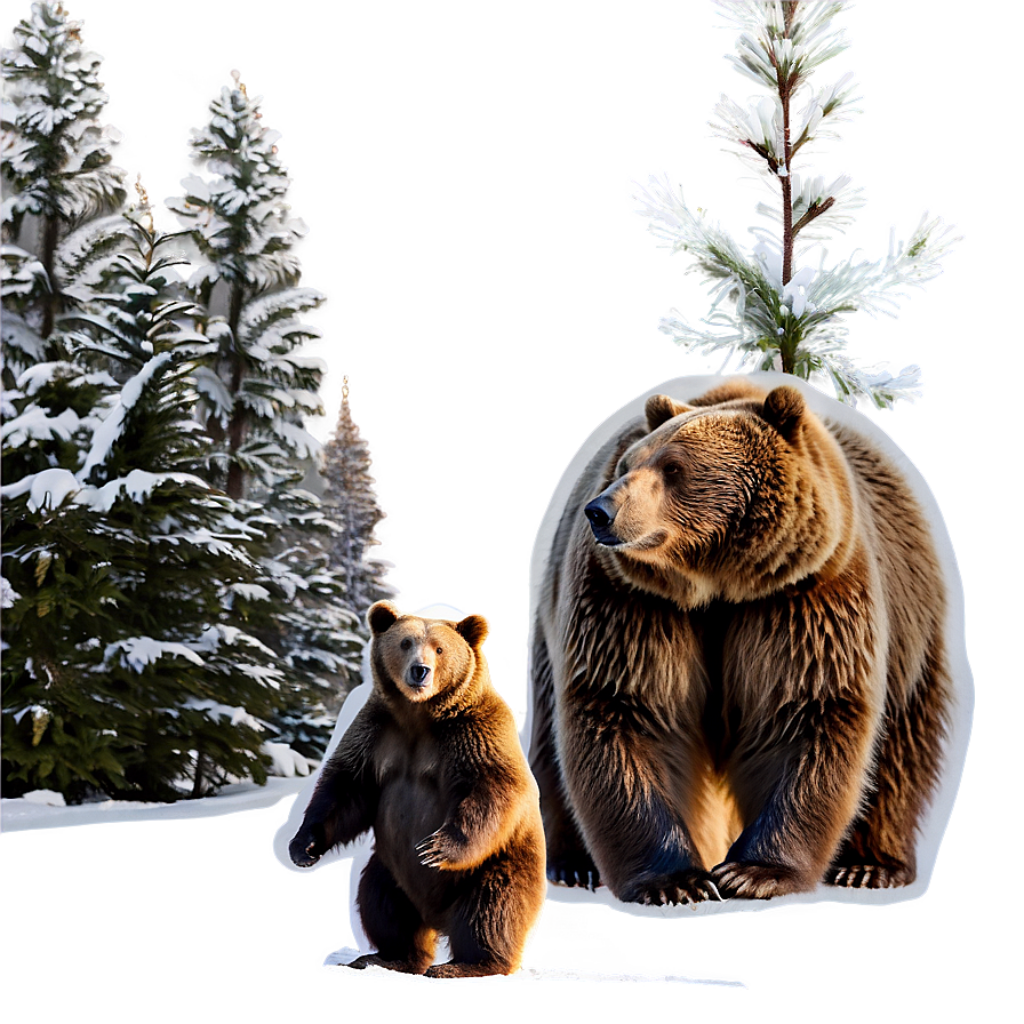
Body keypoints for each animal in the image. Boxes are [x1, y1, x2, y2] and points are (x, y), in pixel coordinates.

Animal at [290, 600, 547, 978]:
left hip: (500, 863)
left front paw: (436, 848)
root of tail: (436, 917)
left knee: (490, 908)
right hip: (391, 868)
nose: (419, 671)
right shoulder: (377, 733)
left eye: (439, 648)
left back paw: (467, 964)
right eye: (405, 643)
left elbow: (491, 787)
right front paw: (303, 847)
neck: (419, 715)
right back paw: (387, 957)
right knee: (382, 904)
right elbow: (345, 790)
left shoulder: (473, 732)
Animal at [529, 377, 951, 905]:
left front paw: (752, 871)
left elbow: (808, 710)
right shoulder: (631, 603)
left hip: (912, 631)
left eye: (673, 466)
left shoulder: (804, 594)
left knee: (899, 747)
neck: (719, 581)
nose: (600, 511)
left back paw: (870, 865)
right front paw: (676, 880)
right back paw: (572, 864)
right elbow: (624, 707)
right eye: (627, 464)